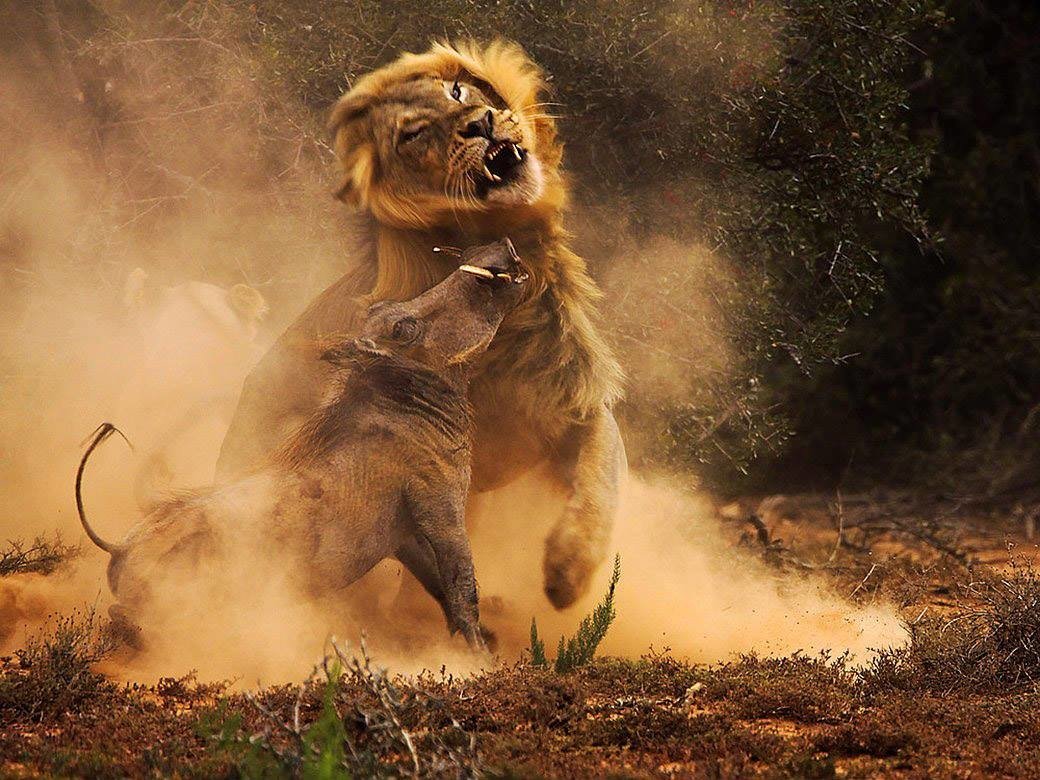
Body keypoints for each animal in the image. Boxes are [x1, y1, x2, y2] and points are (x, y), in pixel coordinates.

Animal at [216, 41, 625, 610]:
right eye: (412, 135)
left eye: (458, 91)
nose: (481, 123)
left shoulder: (579, 406)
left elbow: (600, 482)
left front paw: (568, 573)